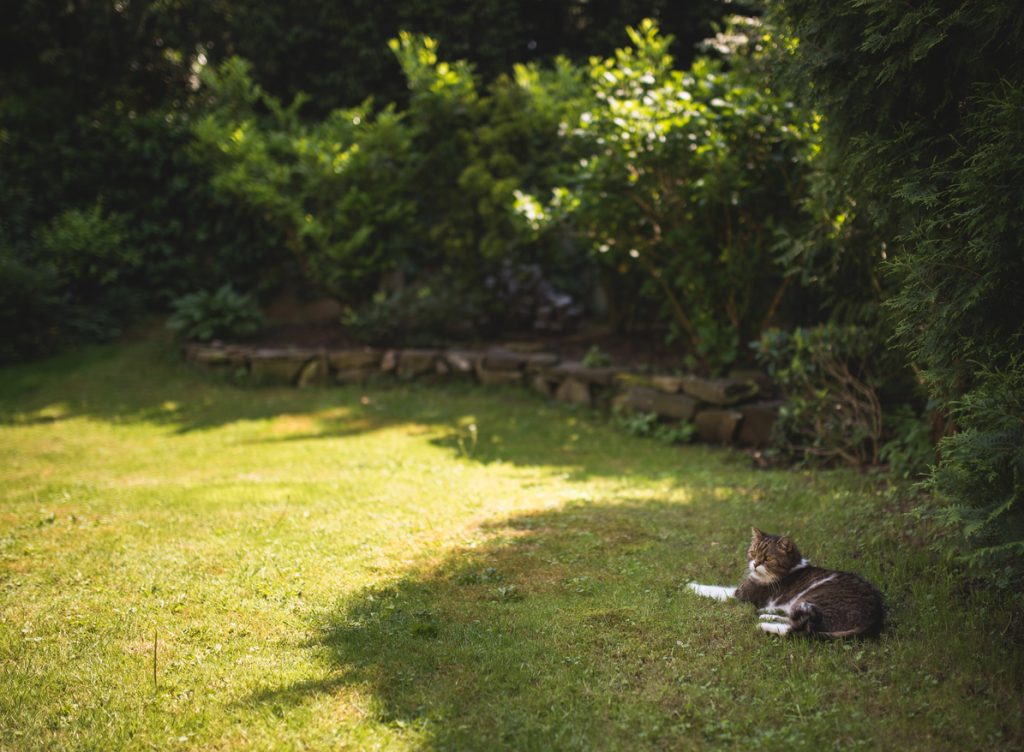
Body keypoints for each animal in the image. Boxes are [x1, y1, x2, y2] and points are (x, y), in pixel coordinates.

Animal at [688, 528, 888, 639]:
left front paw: (691, 586)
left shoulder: (740, 596)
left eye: (768, 558)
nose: (755, 564)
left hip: (813, 601)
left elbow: (715, 590)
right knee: (792, 619)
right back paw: (766, 615)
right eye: (753, 553)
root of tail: (875, 618)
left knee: (800, 631)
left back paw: (764, 625)